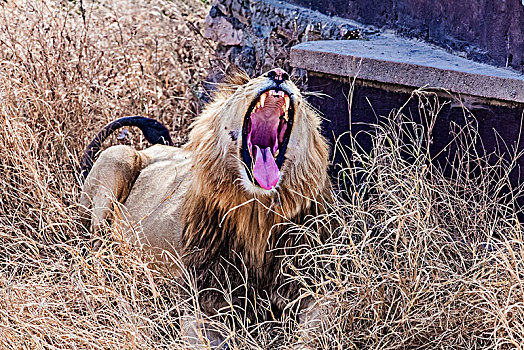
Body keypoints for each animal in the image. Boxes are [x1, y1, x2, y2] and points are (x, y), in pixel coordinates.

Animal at [79, 68, 332, 344]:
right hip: (117, 157)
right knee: (95, 258)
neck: (256, 214)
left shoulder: (315, 290)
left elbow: (315, 333)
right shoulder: (201, 298)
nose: (278, 73)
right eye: (242, 87)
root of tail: (156, 146)